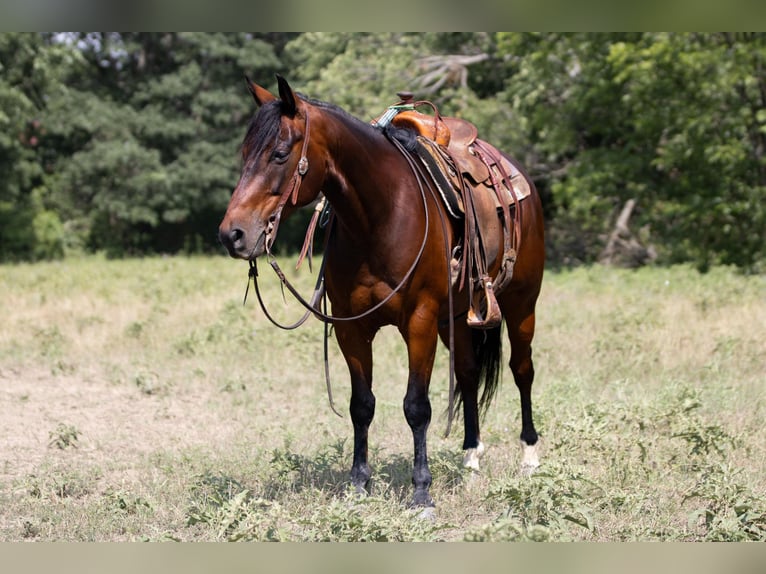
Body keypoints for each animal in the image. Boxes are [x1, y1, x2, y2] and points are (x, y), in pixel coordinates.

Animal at [219, 75, 548, 508]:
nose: (232, 234)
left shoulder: (420, 321)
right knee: (468, 373)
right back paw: (470, 461)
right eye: (244, 154)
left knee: (522, 370)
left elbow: (417, 406)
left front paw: (421, 493)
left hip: (521, 302)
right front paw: (359, 485)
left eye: (278, 154)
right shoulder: (351, 327)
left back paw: (530, 458)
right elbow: (362, 405)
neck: (380, 216)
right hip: (457, 319)